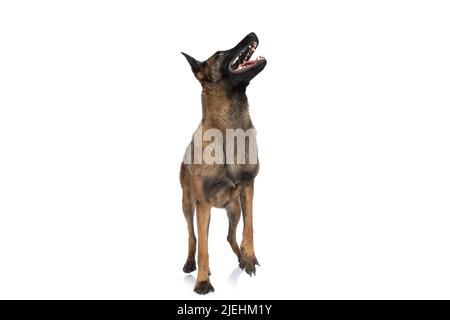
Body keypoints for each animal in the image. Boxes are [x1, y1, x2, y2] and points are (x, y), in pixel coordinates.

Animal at [179, 32, 266, 296]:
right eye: (219, 54)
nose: (252, 33)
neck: (229, 129)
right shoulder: (203, 204)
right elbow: (204, 248)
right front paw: (202, 281)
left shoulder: (248, 187)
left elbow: (250, 228)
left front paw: (249, 257)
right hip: (188, 205)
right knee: (194, 238)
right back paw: (191, 264)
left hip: (234, 208)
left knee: (230, 236)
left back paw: (243, 259)